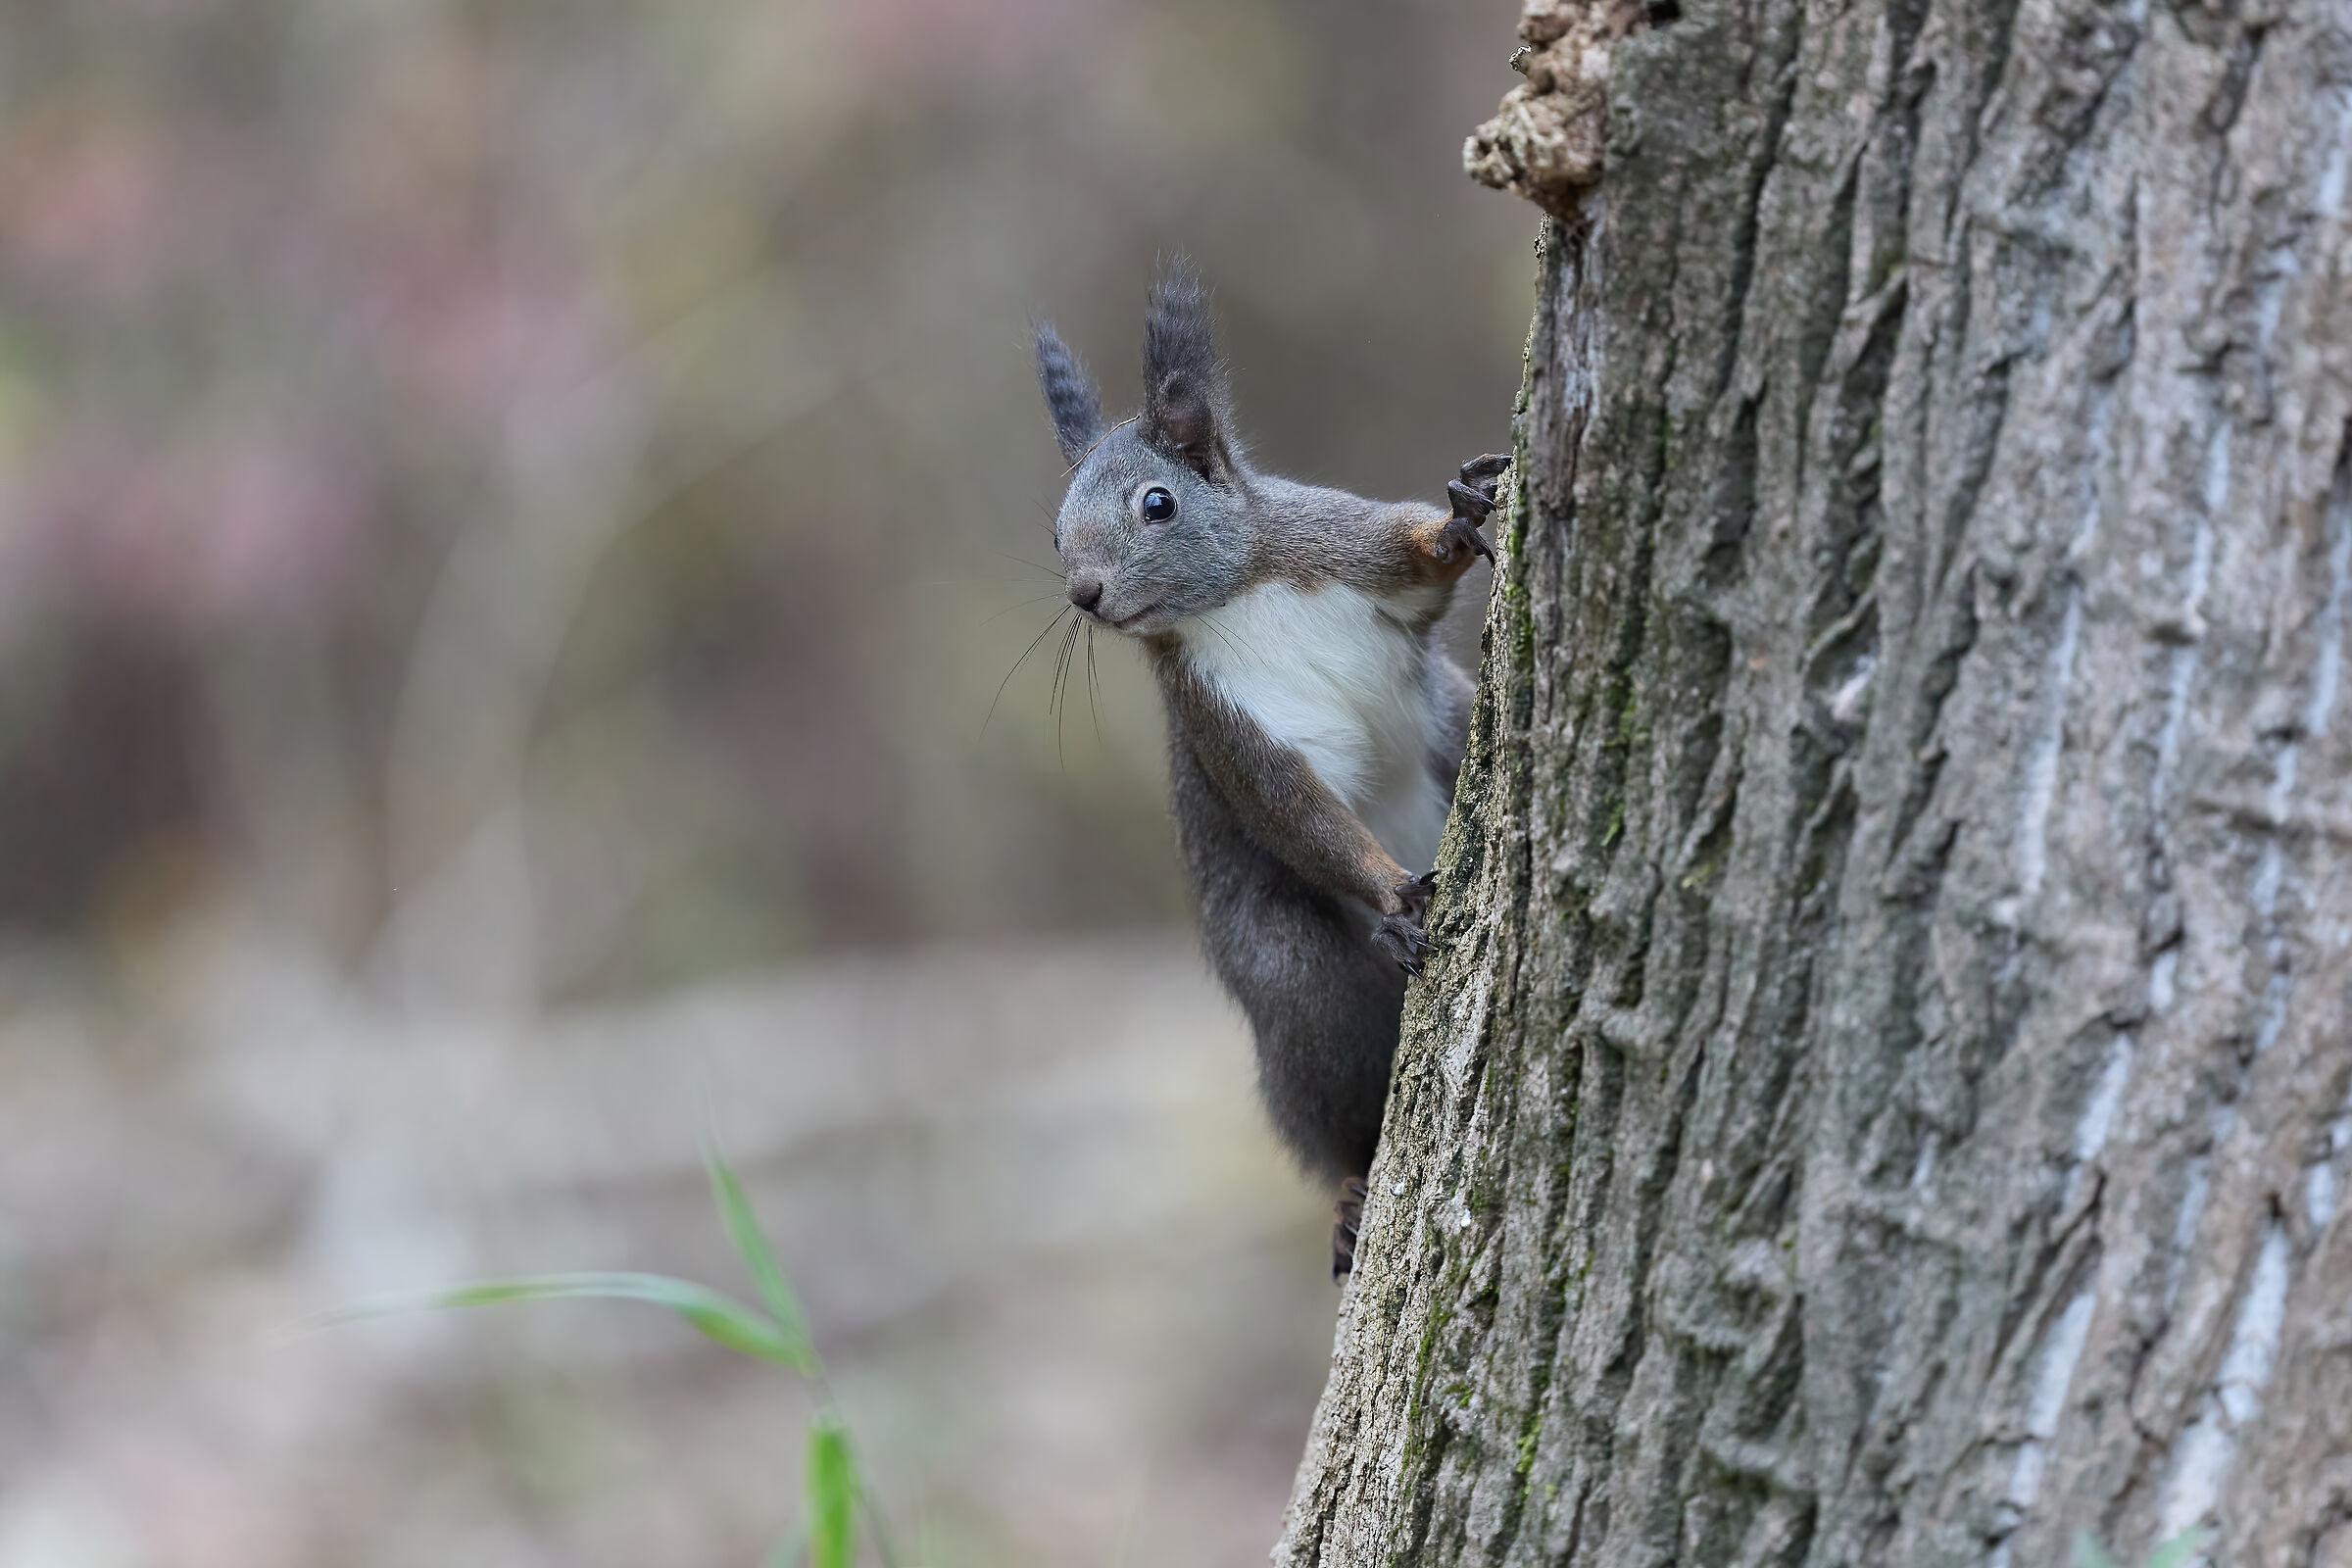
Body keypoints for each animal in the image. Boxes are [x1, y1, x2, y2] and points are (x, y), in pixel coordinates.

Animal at [1032, 261, 1508, 1277]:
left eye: (1158, 502)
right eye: (1054, 536)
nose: (1085, 595)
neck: (1234, 599)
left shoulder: (1340, 542)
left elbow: (1421, 565)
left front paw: (1460, 517)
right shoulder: (1222, 722)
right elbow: (1295, 811)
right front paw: (1392, 894)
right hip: (1299, 986)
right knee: (1335, 1102)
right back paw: (1352, 1195)